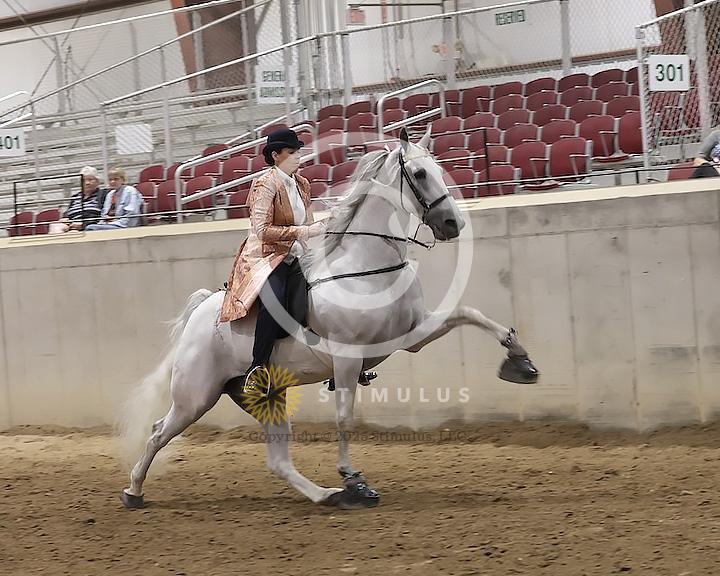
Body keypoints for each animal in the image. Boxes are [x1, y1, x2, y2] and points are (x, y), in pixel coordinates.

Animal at [119, 126, 538, 510]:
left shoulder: (412, 336)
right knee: (157, 432)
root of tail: (203, 312)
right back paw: (133, 492)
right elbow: (344, 420)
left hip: (264, 397)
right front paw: (355, 481)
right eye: (420, 174)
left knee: (277, 461)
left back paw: (325, 495)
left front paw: (521, 362)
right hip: (196, 396)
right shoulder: (348, 359)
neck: (366, 267)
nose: (453, 224)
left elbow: (470, 313)